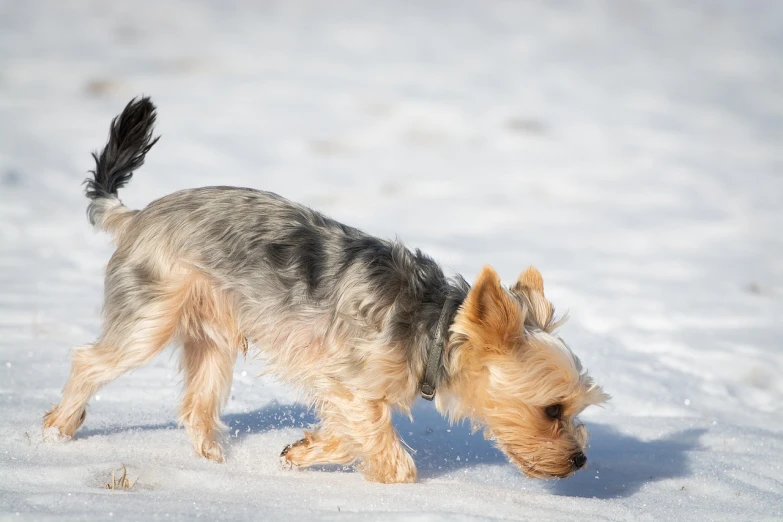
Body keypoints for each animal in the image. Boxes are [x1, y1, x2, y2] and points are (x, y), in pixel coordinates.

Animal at [41, 96, 608, 480]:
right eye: (552, 410)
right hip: (150, 315)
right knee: (90, 361)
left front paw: (303, 451)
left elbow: (349, 433)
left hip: (213, 334)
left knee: (197, 404)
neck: (434, 329)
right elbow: (387, 453)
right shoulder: (347, 379)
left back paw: (216, 466)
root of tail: (136, 217)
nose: (581, 459)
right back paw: (54, 433)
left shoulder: (345, 387)